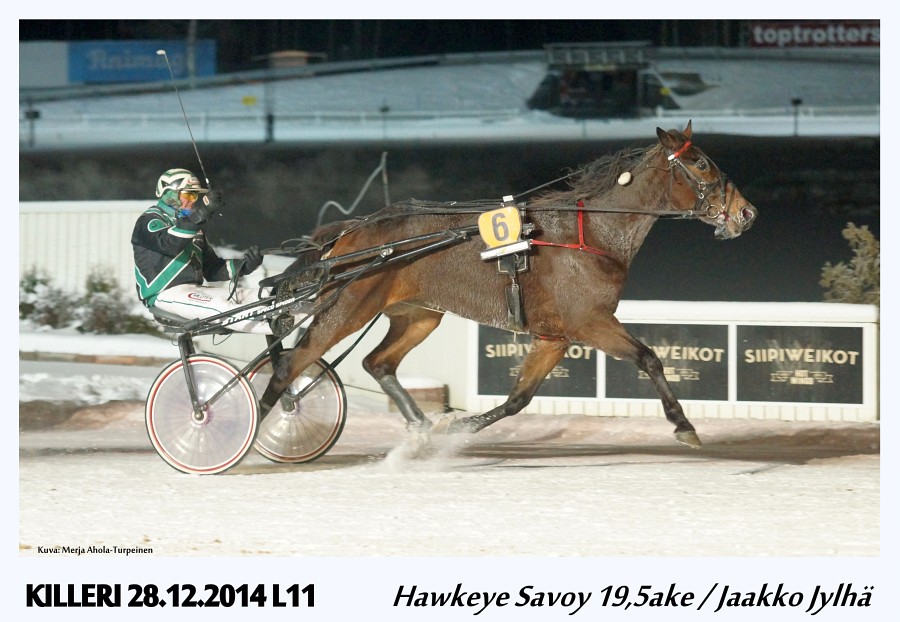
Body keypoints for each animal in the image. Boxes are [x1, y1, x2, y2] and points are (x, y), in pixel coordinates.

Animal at [258, 122, 757, 449]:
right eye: (701, 164)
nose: (747, 213)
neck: (592, 232)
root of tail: (351, 232)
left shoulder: (555, 335)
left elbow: (519, 398)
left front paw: (459, 429)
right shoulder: (591, 322)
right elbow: (649, 358)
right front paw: (683, 425)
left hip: (418, 314)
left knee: (377, 362)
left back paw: (421, 427)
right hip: (348, 308)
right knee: (290, 366)